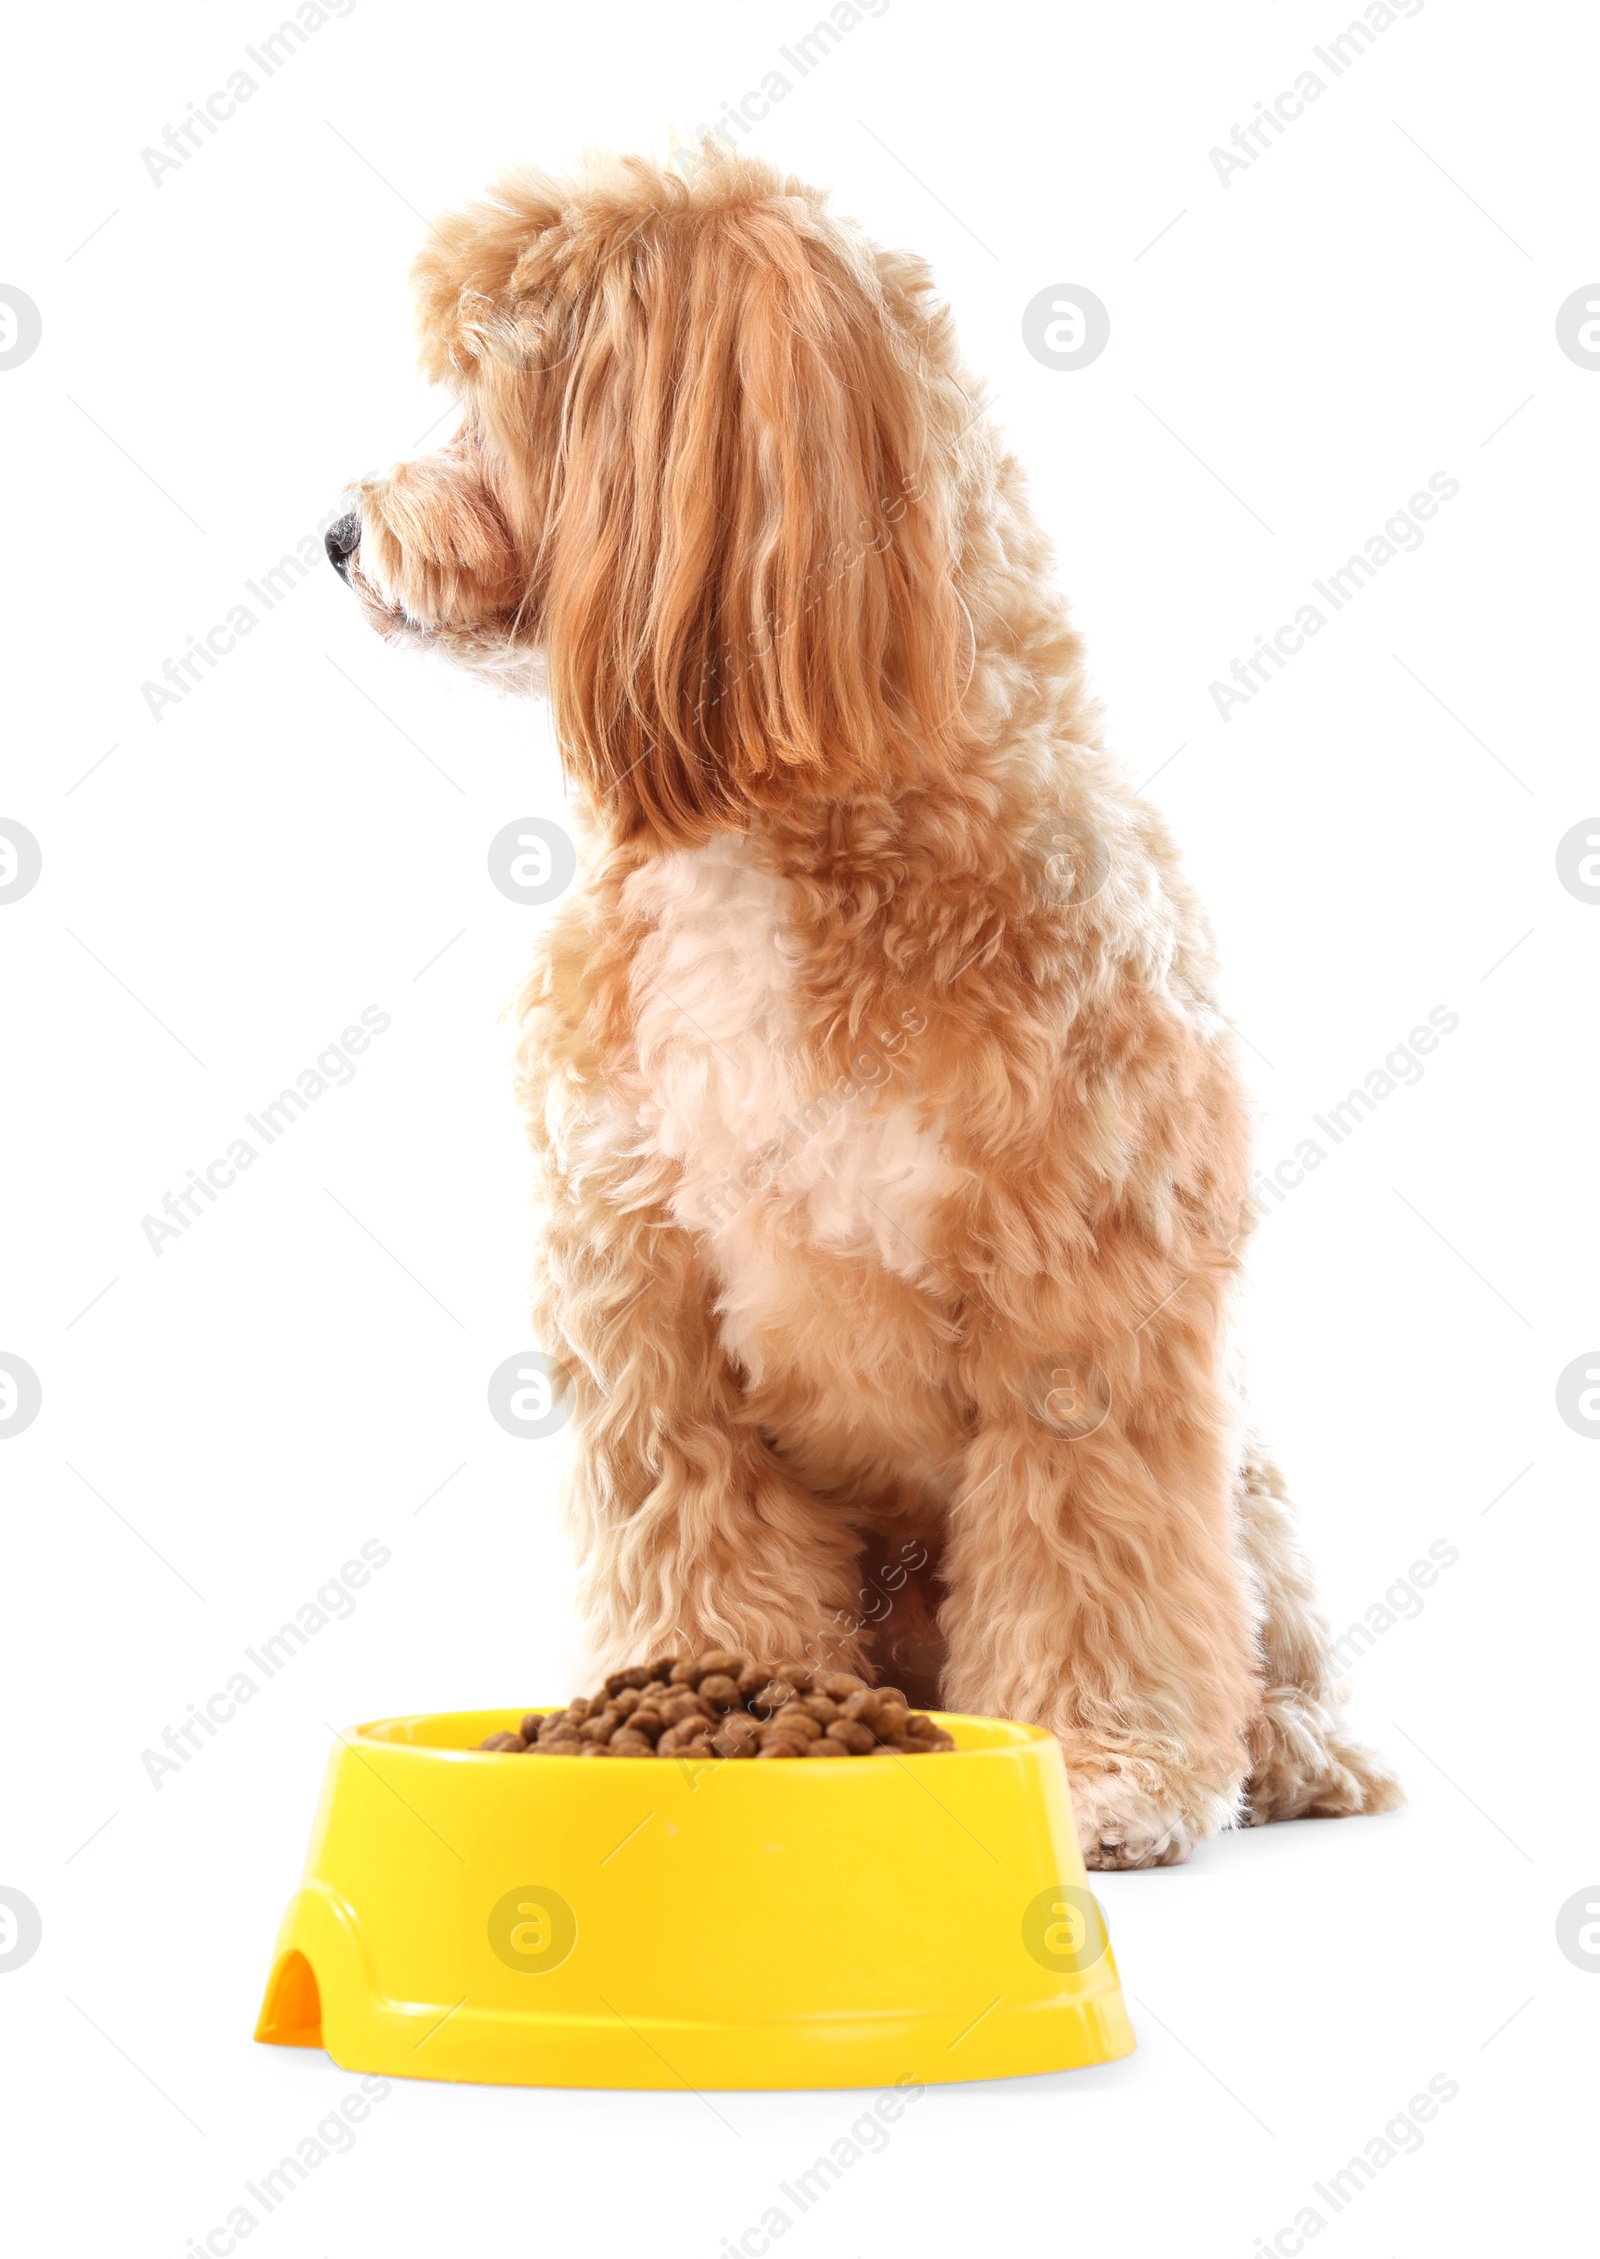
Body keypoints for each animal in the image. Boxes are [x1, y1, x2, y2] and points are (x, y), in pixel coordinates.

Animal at [327, 145, 1401, 1870]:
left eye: (496, 381)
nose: (338, 532)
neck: (777, 843)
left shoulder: (1083, 1304)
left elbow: (1091, 1555)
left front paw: (1107, 1769)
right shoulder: (643, 1295)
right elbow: (695, 1540)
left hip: (1248, 1481)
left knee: (1255, 1627)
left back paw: (1288, 1750)